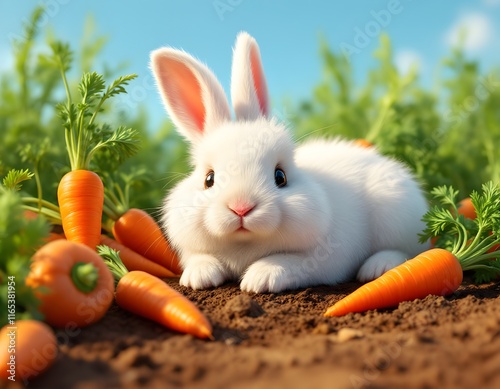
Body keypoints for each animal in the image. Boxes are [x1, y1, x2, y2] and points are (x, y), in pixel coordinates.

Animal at [150, 31, 428, 292]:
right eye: (209, 179)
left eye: (280, 176)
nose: (241, 208)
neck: (244, 245)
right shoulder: (191, 247)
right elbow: (198, 258)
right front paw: (198, 278)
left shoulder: (324, 259)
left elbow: (289, 262)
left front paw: (260, 278)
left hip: (396, 214)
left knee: (409, 250)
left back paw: (378, 266)